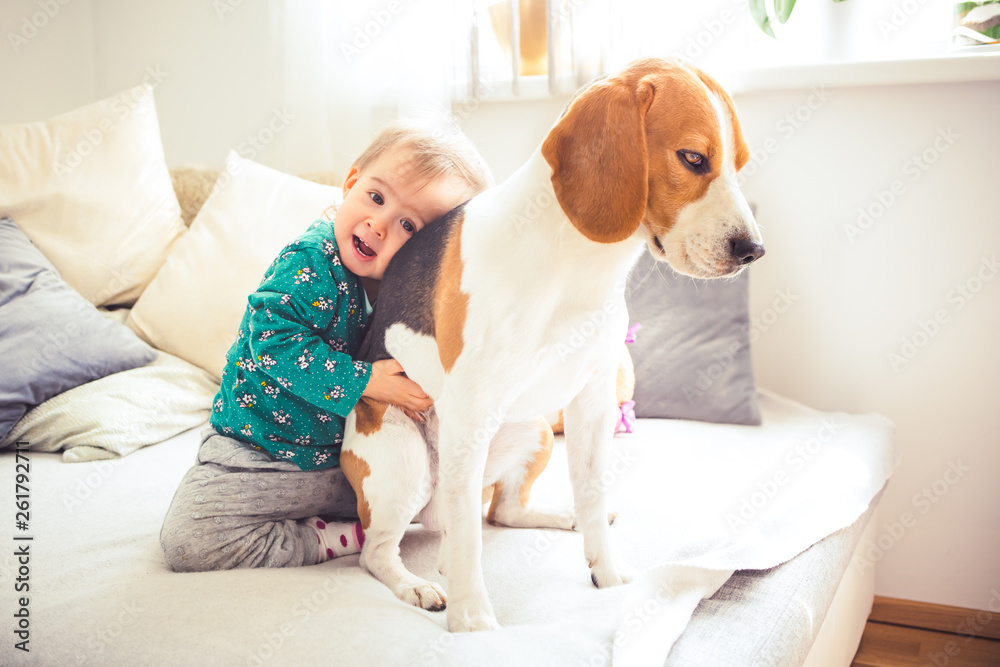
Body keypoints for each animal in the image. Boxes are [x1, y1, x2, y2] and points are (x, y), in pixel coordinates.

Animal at [340, 56, 760, 632]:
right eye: (694, 158)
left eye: (739, 164)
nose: (754, 249)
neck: (580, 266)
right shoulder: (470, 411)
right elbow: (468, 545)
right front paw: (473, 621)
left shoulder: (593, 401)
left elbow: (590, 490)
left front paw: (606, 570)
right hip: (404, 458)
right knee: (385, 549)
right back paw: (420, 584)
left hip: (535, 429)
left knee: (497, 513)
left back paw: (561, 518)